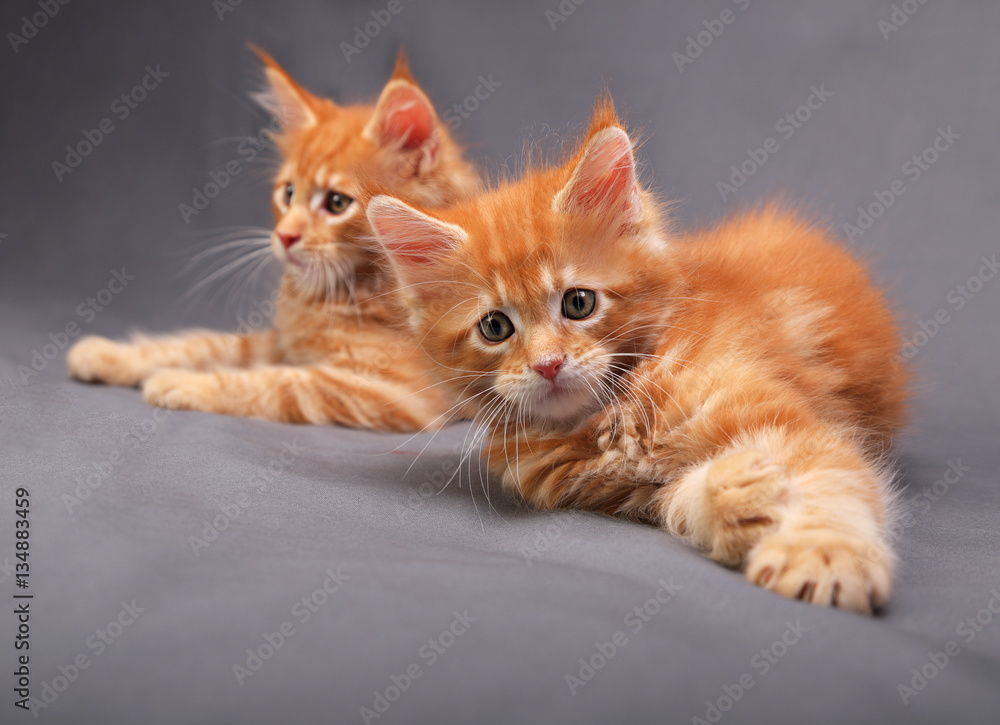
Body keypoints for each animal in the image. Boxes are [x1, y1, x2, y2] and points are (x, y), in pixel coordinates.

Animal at [67, 51, 480, 430]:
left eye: (336, 203)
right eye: (288, 193)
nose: (284, 235)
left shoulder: (388, 389)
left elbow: (275, 383)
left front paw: (178, 382)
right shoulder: (279, 341)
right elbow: (204, 343)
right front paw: (108, 355)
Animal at [366, 97, 908, 612]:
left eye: (578, 303)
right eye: (495, 327)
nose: (548, 364)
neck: (612, 412)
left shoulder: (786, 417)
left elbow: (833, 480)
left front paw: (823, 556)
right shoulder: (623, 490)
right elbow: (678, 498)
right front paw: (734, 498)